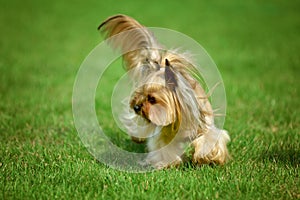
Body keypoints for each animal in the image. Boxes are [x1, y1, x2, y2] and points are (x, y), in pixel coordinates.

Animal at [98, 14, 230, 169]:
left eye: (152, 99)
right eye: (139, 94)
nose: (136, 107)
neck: (179, 119)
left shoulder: (204, 125)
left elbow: (209, 138)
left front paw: (208, 158)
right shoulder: (162, 134)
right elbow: (165, 149)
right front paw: (168, 164)